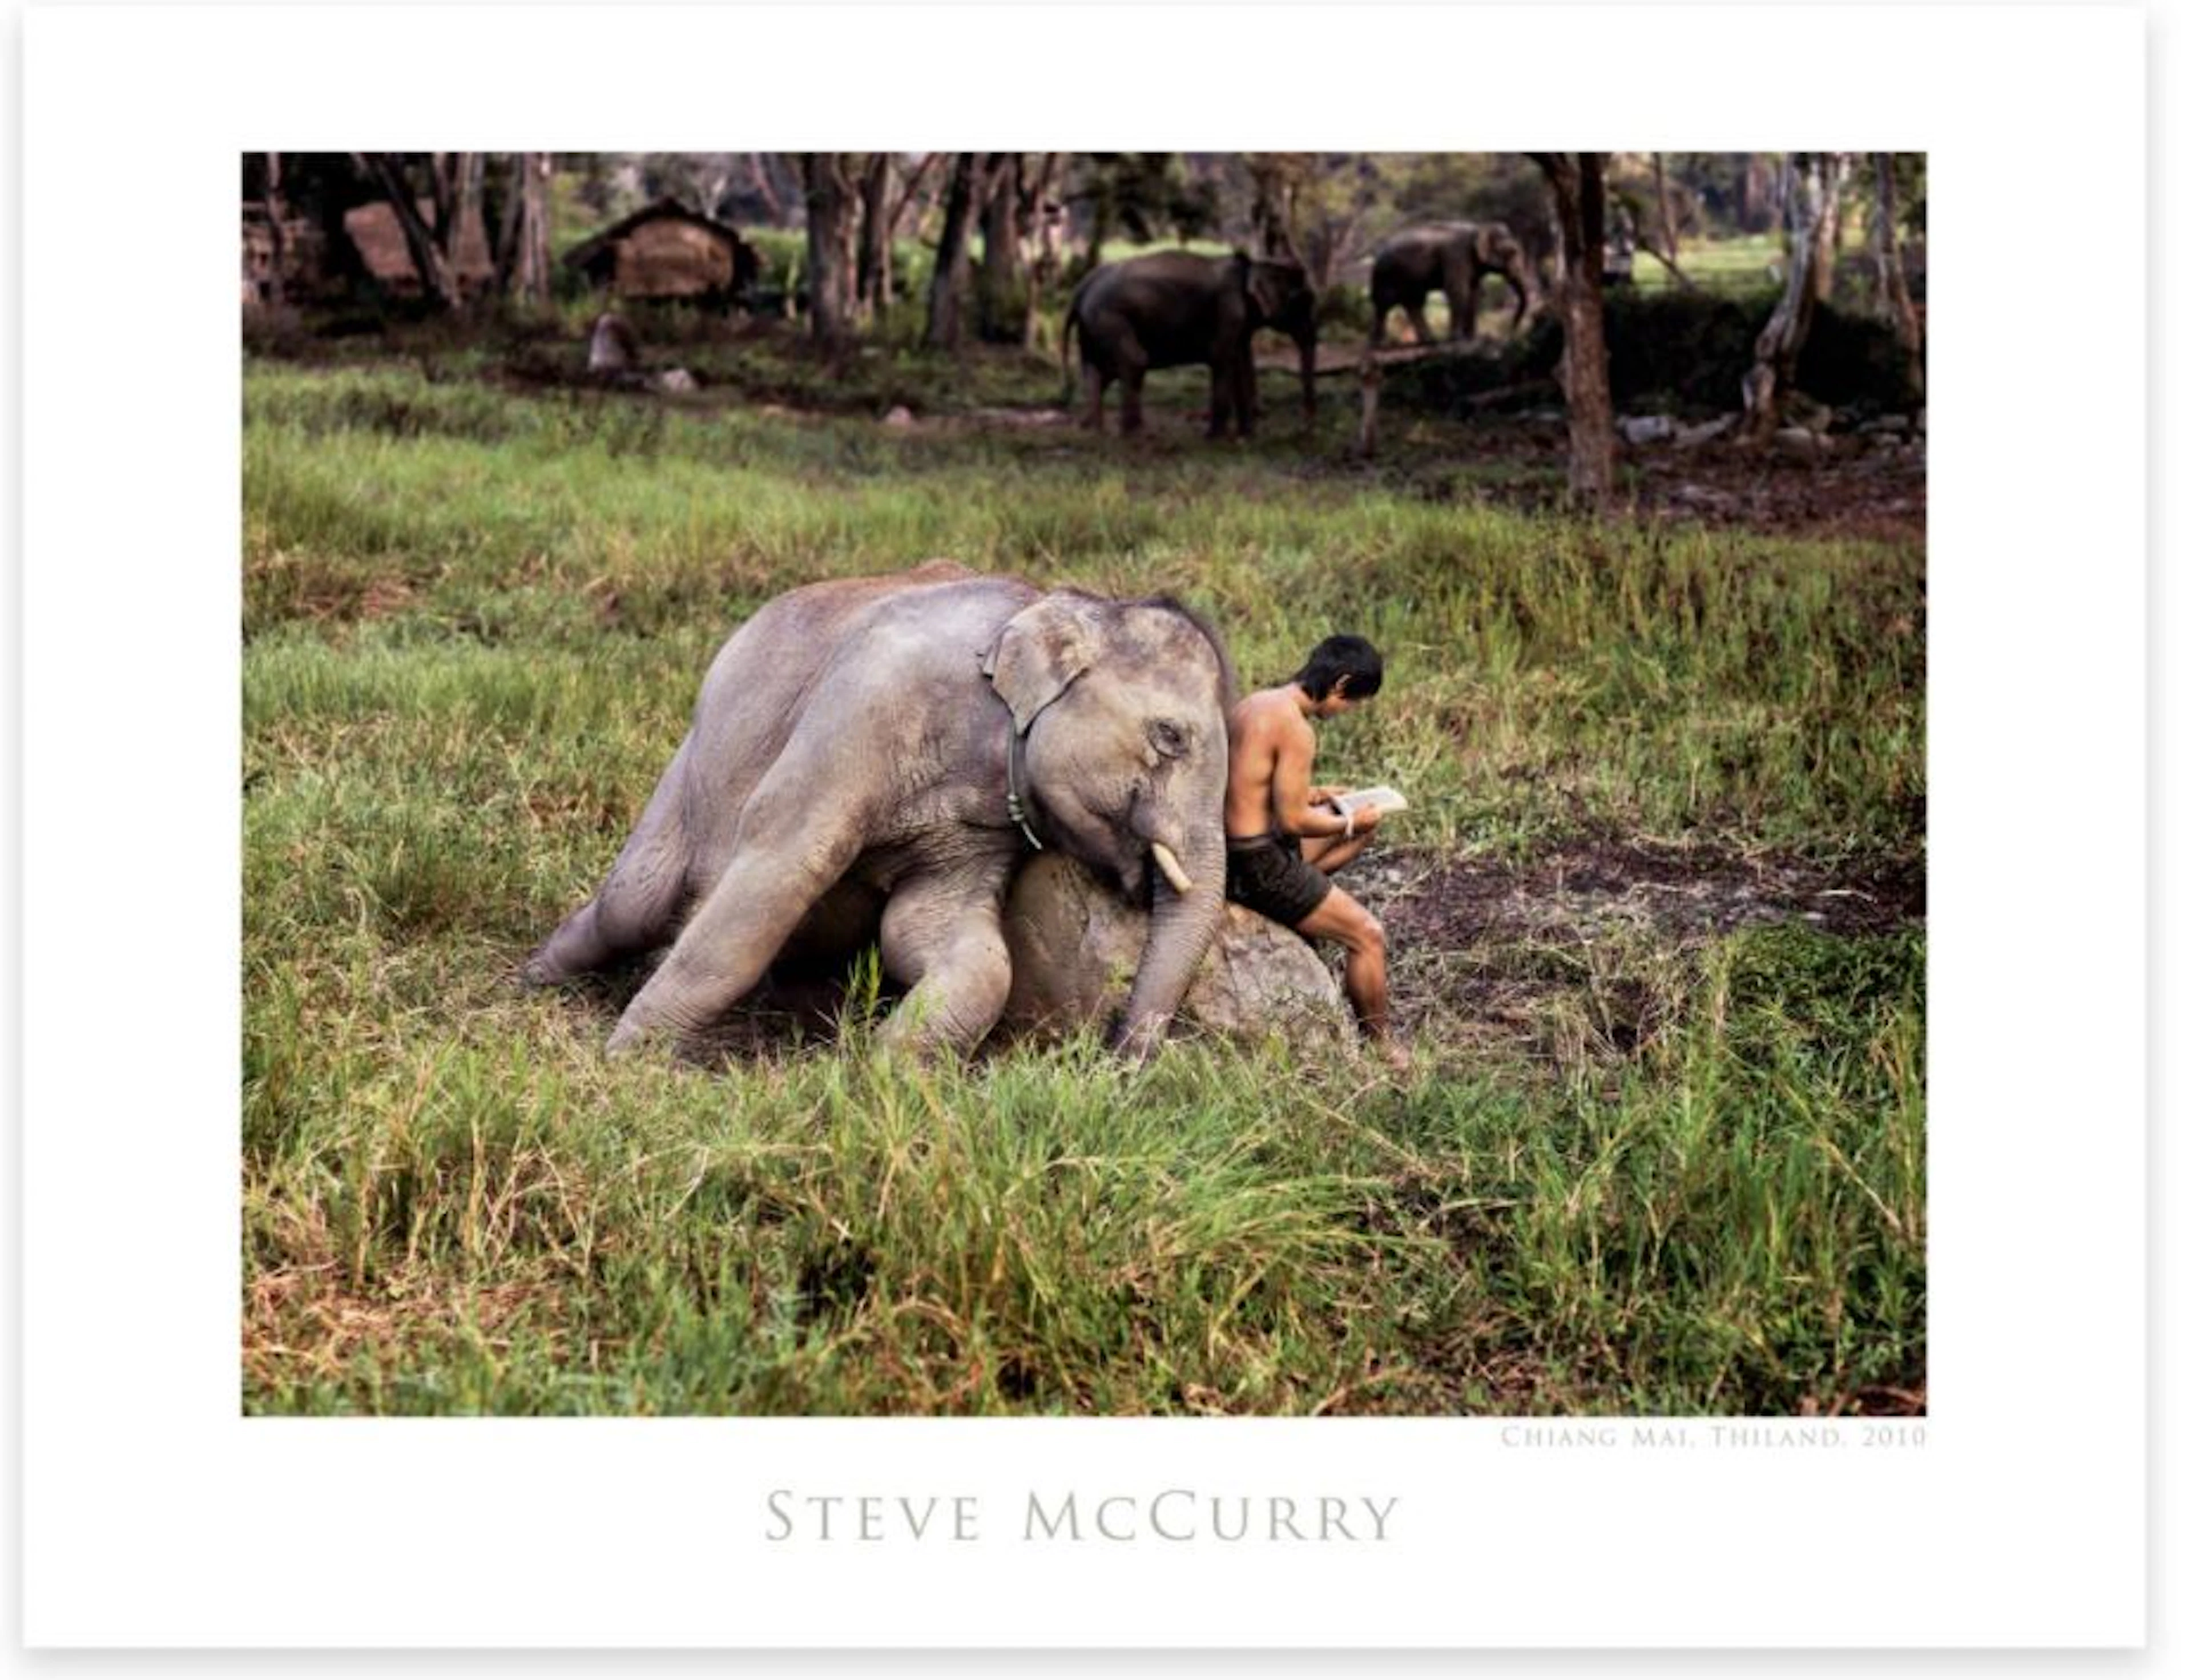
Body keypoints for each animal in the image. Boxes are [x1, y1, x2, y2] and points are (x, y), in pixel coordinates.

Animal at [522, 560, 1236, 1060]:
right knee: (635, 903)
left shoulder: (982, 828)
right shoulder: (867, 704)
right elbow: (779, 873)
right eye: (1171, 737)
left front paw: (882, 1069)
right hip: (693, 759)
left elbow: (947, 939)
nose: (1118, 1055)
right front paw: (627, 1060)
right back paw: (535, 978)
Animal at [1063, 249, 1318, 438]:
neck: (1255, 263)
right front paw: (1217, 438)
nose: (1304, 430)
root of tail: (1081, 288)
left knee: (1098, 372)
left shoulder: (1241, 322)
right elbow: (1222, 358)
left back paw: (1096, 432)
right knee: (1135, 362)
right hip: (1110, 318)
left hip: (1092, 327)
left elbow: (1242, 362)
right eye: (1305, 301)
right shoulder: (1229, 310)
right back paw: (1137, 435)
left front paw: (1247, 437)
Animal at [1369, 221, 1535, 347]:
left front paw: (1472, 339)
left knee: (1414, 303)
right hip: (1387, 276)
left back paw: (1430, 342)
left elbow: (1474, 292)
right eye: (1512, 252)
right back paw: (1379, 345)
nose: (1510, 334)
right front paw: (1457, 339)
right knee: (1385, 304)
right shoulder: (1456, 256)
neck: (1479, 228)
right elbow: (1458, 290)